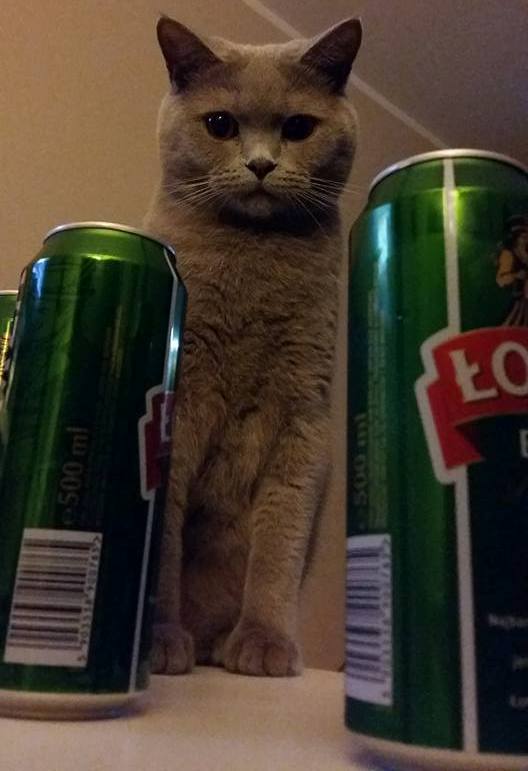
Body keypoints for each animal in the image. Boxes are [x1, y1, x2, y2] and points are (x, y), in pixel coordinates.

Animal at [144, 14, 361, 677]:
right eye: (220, 124)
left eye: (297, 128)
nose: (262, 163)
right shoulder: (181, 402)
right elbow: (164, 541)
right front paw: (159, 641)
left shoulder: (303, 419)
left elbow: (276, 548)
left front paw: (265, 643)